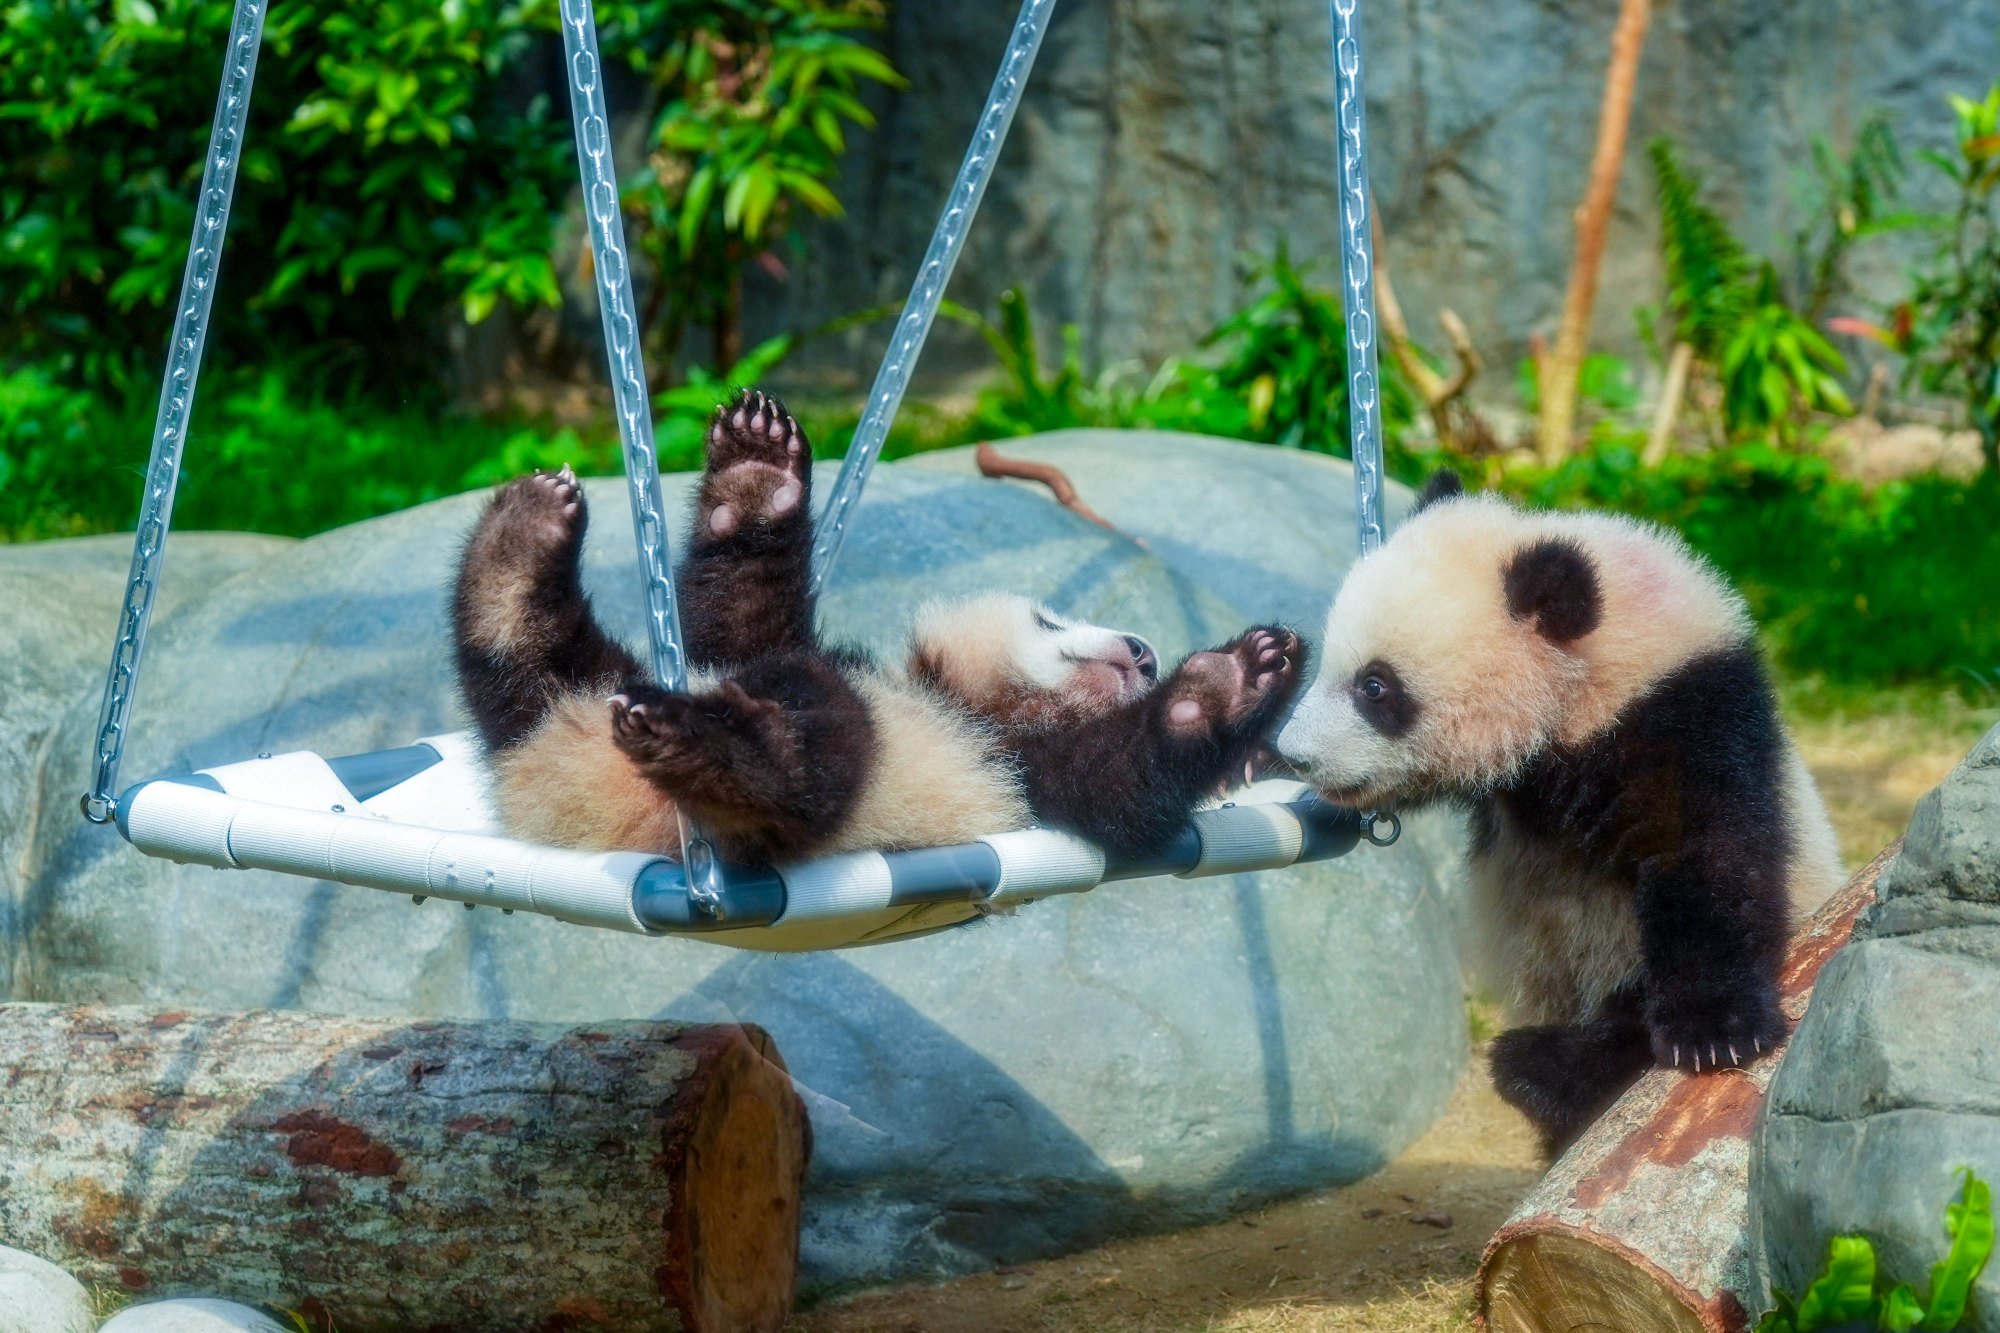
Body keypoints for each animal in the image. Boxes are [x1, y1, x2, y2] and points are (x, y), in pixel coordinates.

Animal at [450, 388, 1305, 867]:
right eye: (1049, 616)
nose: (1144, 652)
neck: (981, 707)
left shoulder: (1021, 778)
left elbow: (1118, 780)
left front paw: (1228, 683)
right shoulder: (805, 650)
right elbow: (739, 626)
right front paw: (755, 470)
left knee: (820, 751)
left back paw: (703, 742)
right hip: (585, 697)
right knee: (536, 668)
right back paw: (516, 547)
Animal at [1276, 471, 1843, 1156]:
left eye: (1375, 686)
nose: (1294, 755)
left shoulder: (1682, 716)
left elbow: (1707, 851)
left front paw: (1715, 1031)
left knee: (1621, 1023)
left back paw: (1542, 1069)